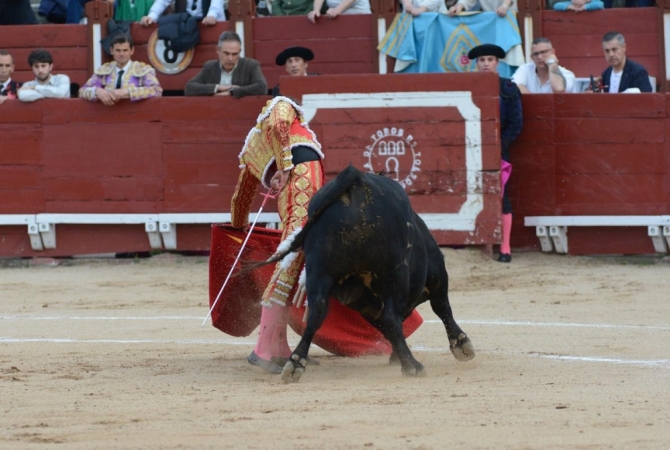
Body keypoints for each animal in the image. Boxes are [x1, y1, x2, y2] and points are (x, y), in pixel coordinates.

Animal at [249, 167, 476, 382]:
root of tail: (355, 182)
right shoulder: (437, 276)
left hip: (319, 271)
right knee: (392, 318)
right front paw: (461, 345)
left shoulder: (365, 305)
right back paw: (413, 366)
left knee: (316, 313)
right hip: (395, 274)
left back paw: (295, 364)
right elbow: (441, 308)